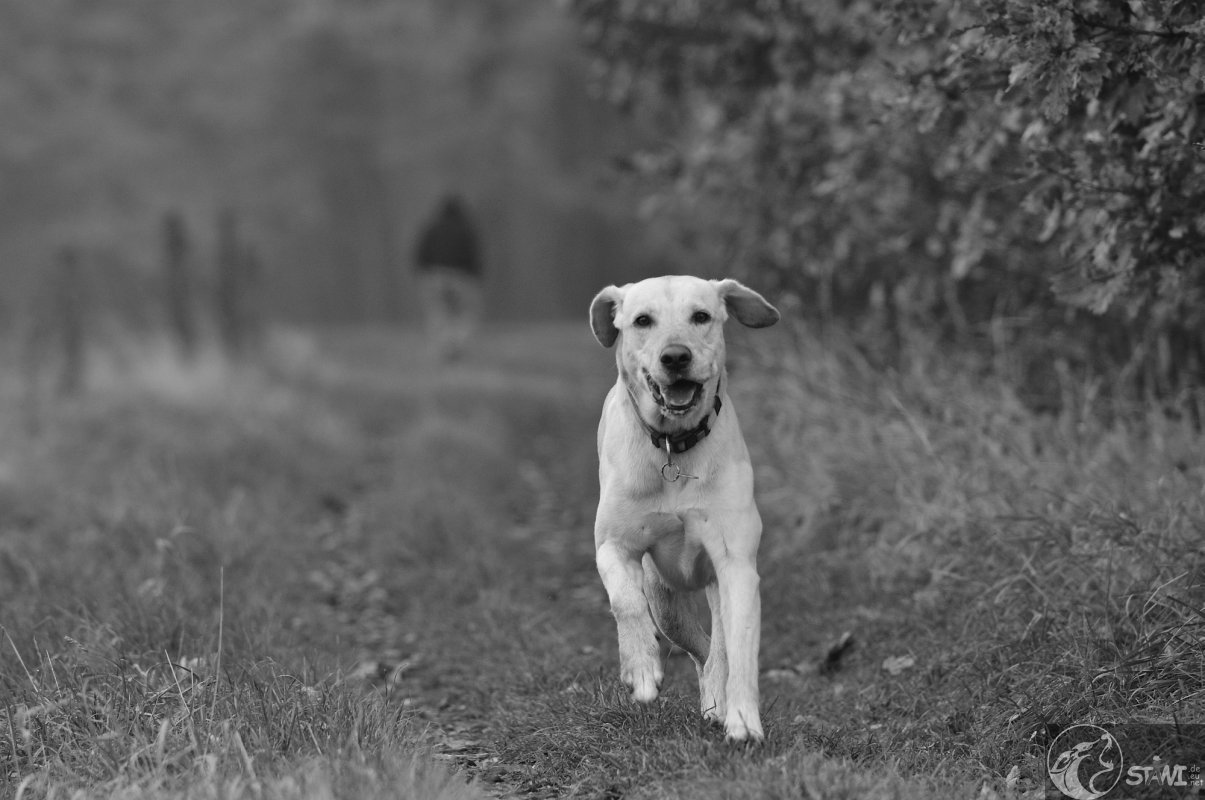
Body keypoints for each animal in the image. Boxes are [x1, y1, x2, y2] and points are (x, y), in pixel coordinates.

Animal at [589, 275, 779, 742]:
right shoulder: (612, 546)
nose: (676, 356)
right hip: (665, 603)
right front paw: (641, 668)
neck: (674, 445)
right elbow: (625, 601)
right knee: (697, 645)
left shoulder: (736, 564)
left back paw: (718, 702)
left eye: (701, 316)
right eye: (642, 320)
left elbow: (740, 646)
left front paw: (743, 718)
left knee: (717, 649)